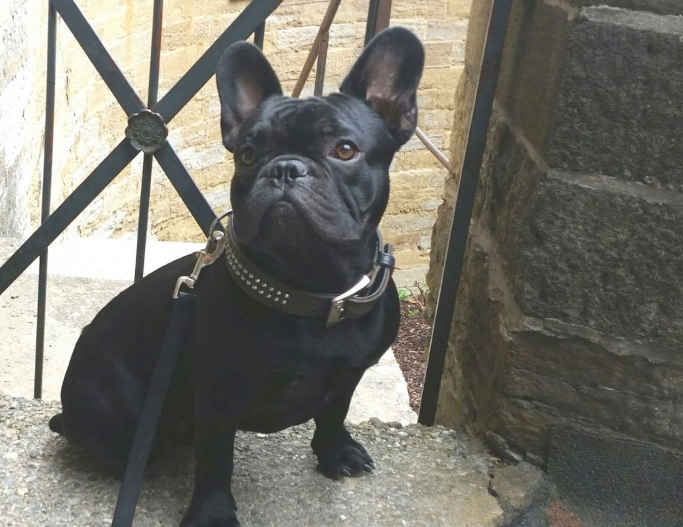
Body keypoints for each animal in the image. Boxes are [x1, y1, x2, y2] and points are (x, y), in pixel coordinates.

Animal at [49, 27, 424, 527]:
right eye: (247, 155)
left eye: (344, 150)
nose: (284, 167)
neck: (310, 286)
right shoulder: (218, 395)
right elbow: (216, 460)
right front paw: (212, 513)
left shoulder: (348, 374)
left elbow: (334, 413)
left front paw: (335, 453)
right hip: (119, 417)